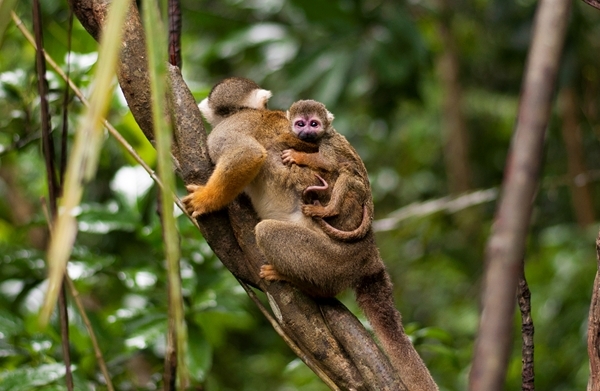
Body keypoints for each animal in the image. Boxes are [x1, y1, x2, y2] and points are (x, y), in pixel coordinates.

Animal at [183, 78, 436, 390]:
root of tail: (369, 252)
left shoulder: (226, 131)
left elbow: (248, 155)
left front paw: (206, 200)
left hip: (333, 258)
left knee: (267, 231)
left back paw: (303, 284)